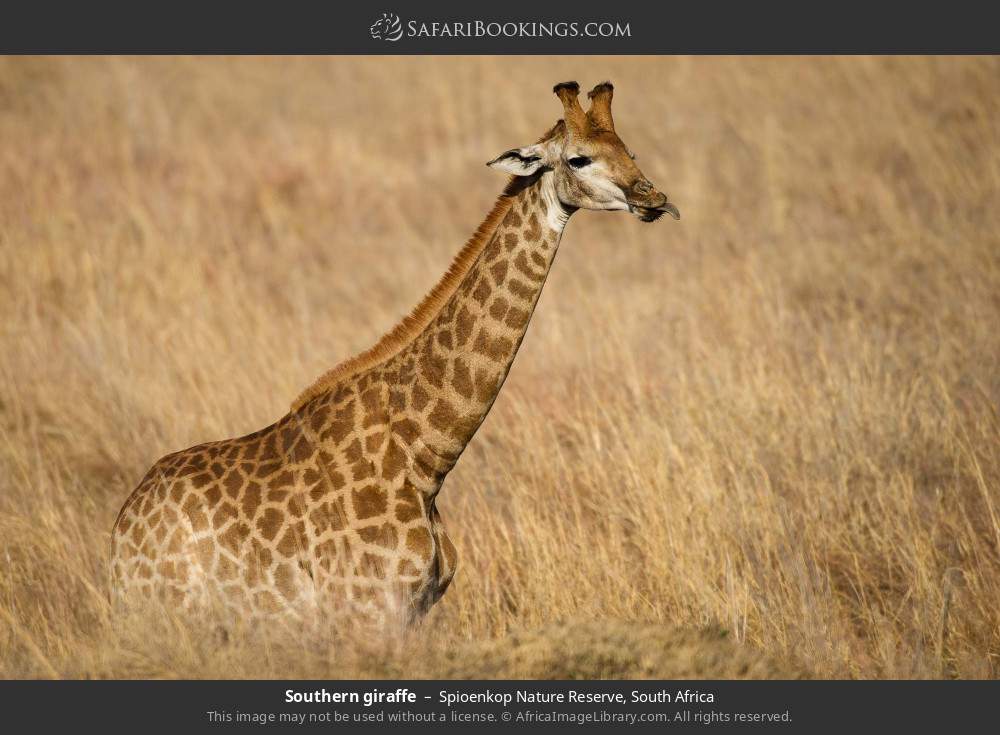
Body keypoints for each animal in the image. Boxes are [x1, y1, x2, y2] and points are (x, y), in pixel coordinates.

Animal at [110, 81, 679, 627]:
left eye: (628, 149)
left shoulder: (413, 612)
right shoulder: (363, 608)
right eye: (578, 159)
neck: (423, 455)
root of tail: (118, 534)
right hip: (167, 613)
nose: (656, 199)